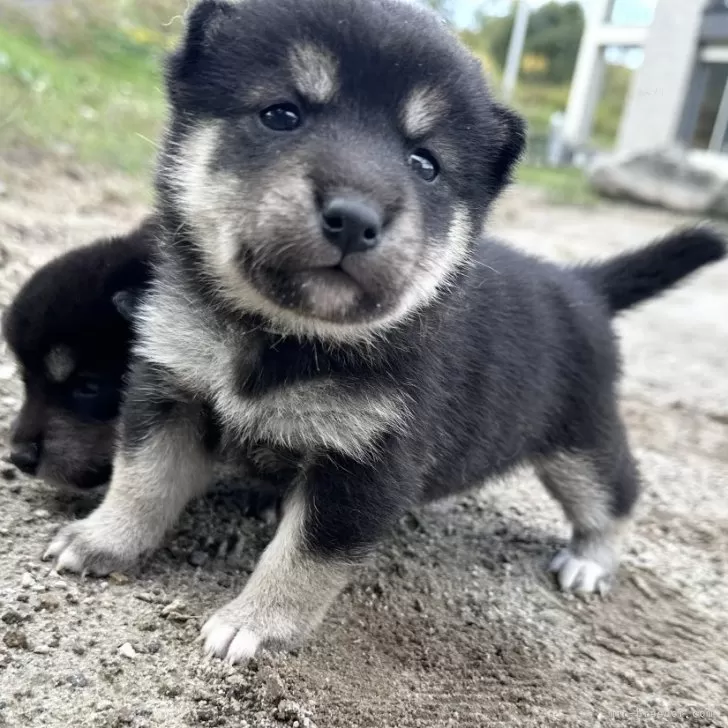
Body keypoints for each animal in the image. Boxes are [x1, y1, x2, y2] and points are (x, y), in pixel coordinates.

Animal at [44, 0, 724, 664]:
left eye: (425, 163)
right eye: (282, 114)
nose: (354, 218)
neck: (283, 336)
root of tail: (583, 284)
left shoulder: (366, 466)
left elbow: (301, 557)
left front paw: (255, 623)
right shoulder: (169, 393)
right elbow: (142, 481)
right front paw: (102, 539)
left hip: (580, 440)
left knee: (616, 495)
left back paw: (590, 560)